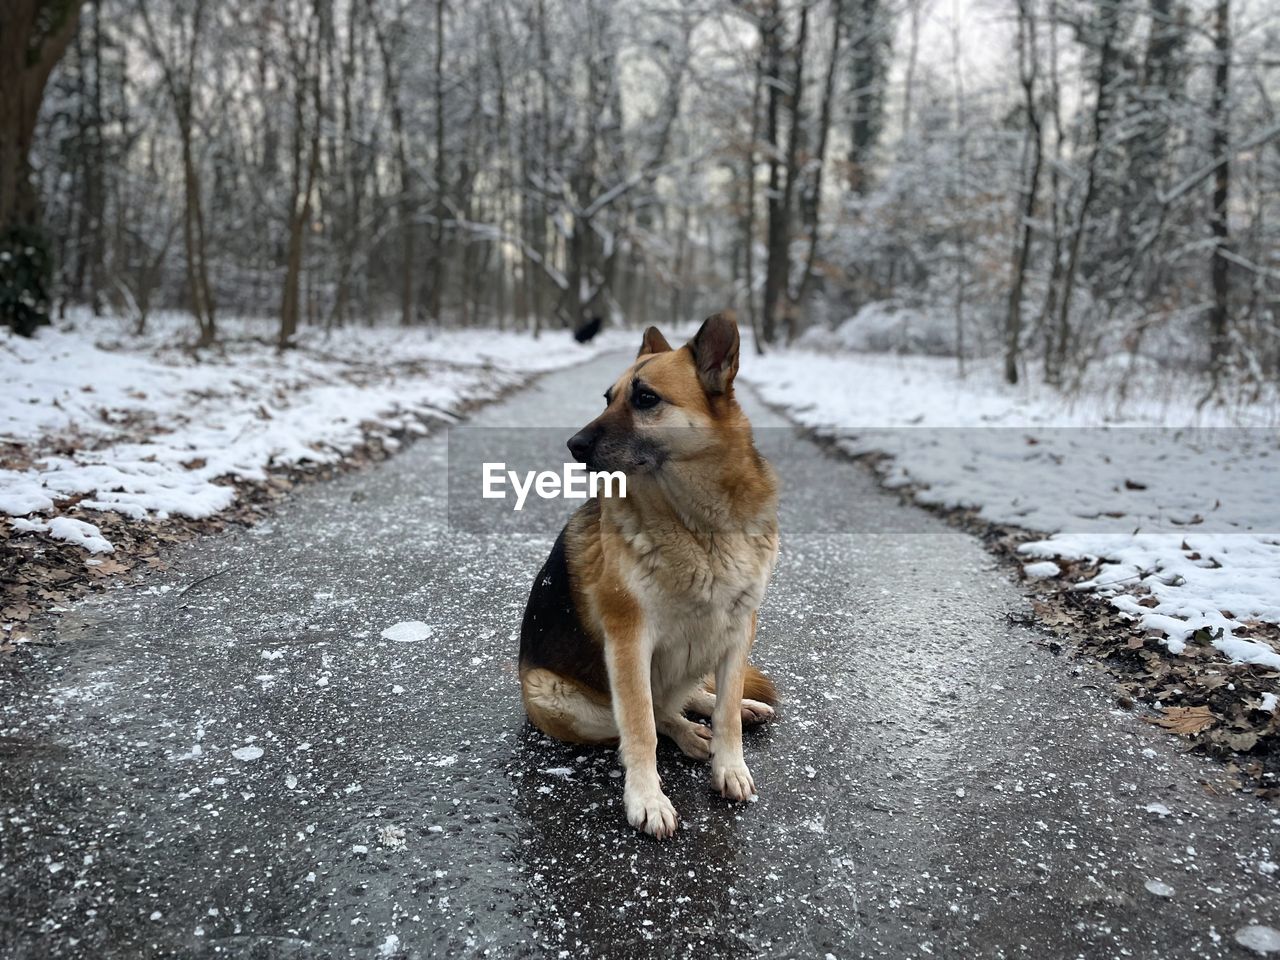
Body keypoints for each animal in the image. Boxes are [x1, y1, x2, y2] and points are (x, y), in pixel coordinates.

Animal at [514, 312, 773, 839]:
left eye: (646, 398)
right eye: (607, 398)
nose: (573, 445)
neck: (699, 527)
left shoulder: (739, 629)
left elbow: (726, 712)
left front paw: (730, 765)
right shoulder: (630, 640)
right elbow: (641, 728)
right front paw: (647, 800)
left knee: (694, 697)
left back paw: (732, 711)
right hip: (555, 695)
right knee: (655, 714)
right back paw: (691, 734)